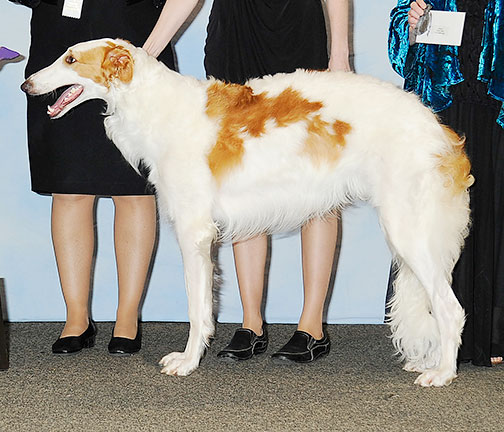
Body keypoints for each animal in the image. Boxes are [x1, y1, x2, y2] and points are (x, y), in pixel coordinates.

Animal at [21, 38, 474, 386]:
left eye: (70, 59)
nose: (26, 84)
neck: (155, 106)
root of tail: (438, 129)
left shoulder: (194, 232)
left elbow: (197, 306)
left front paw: (187, 362)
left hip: (408, 229)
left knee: (451, 308)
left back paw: (442, 373)